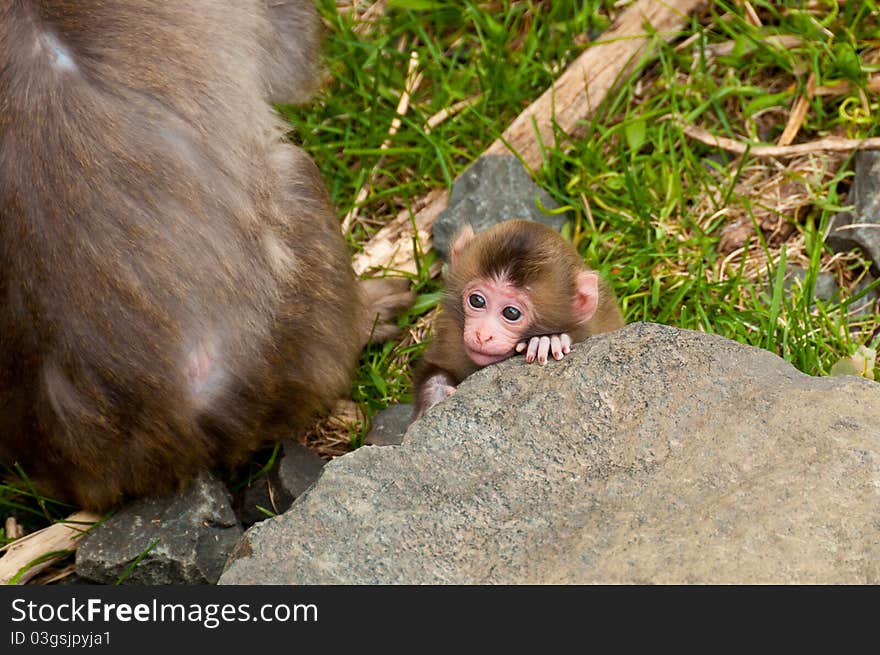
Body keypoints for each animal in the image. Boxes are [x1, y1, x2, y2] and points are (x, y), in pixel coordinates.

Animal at [414, 220, 624, 420]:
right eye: (477, 300)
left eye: (511, 313)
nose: (482, 335)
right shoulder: (451, 333)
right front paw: (436, 394)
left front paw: (546, 342)